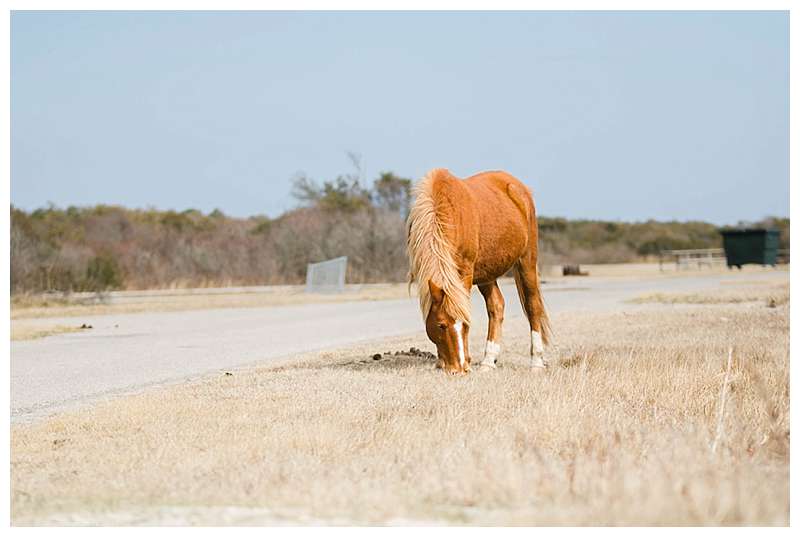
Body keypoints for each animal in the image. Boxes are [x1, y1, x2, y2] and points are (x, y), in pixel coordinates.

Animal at [406, 168, 552, 372]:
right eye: (441, 325)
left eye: (466, 324)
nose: (459, 368)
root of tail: (521, 189)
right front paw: (441, 362)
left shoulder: (465, 271)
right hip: (486, 275)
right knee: (496, 306)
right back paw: (488, 361)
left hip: (527, 260)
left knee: (533, 306)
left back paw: (536, 362)